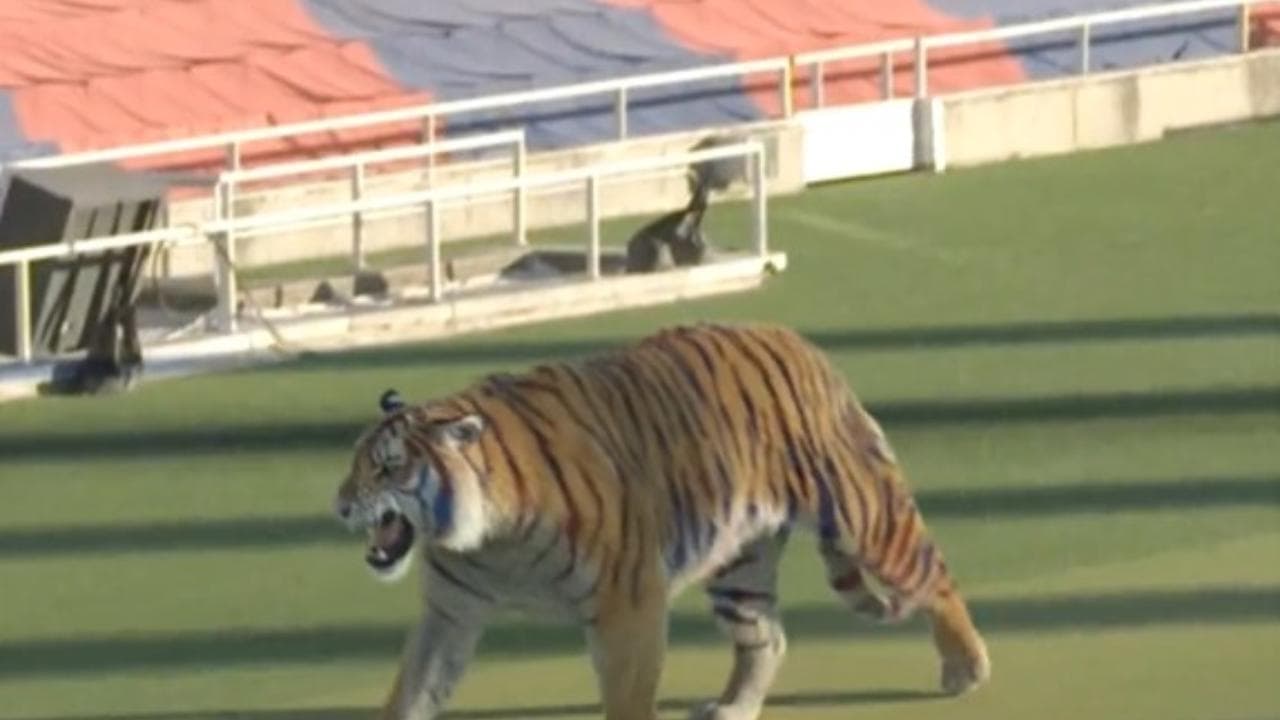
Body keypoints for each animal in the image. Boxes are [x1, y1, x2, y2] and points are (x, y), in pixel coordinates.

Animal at [332, 322, 990, 720]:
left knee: (933, 574)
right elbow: (414, 690)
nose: (339, 506)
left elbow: (628, 697)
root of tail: (800, 342)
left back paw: (966, 667)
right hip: (739, 565)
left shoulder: (628, 606)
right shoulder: (451, 612)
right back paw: (732, 709)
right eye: (356, 461)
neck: (488, 541)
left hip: (863, 515)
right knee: (767, 638)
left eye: (387, 468)